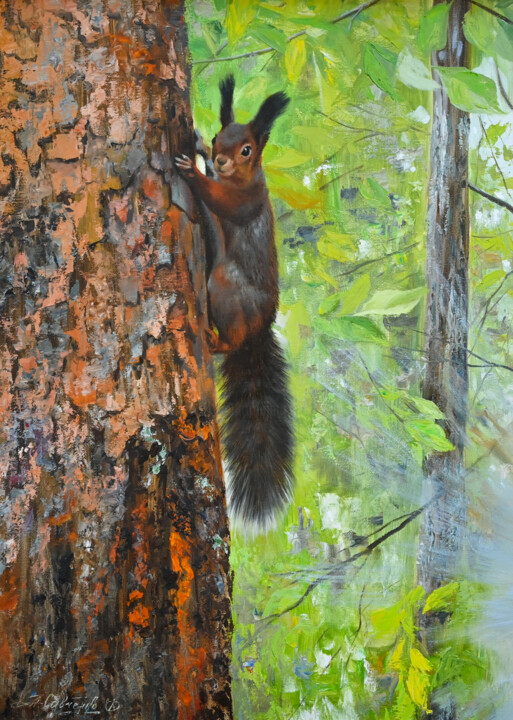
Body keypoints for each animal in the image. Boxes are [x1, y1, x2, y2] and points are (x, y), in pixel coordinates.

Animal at [174, 75, 293, 529]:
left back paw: (217, 340)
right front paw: (199, 151)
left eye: (247, 149)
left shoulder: (245, 201)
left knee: (233, 338)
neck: (243, 179)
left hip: (225, 286)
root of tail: (260, 328)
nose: (222, 159)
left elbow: (220, 199)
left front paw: (192, 170)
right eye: (217, 137)